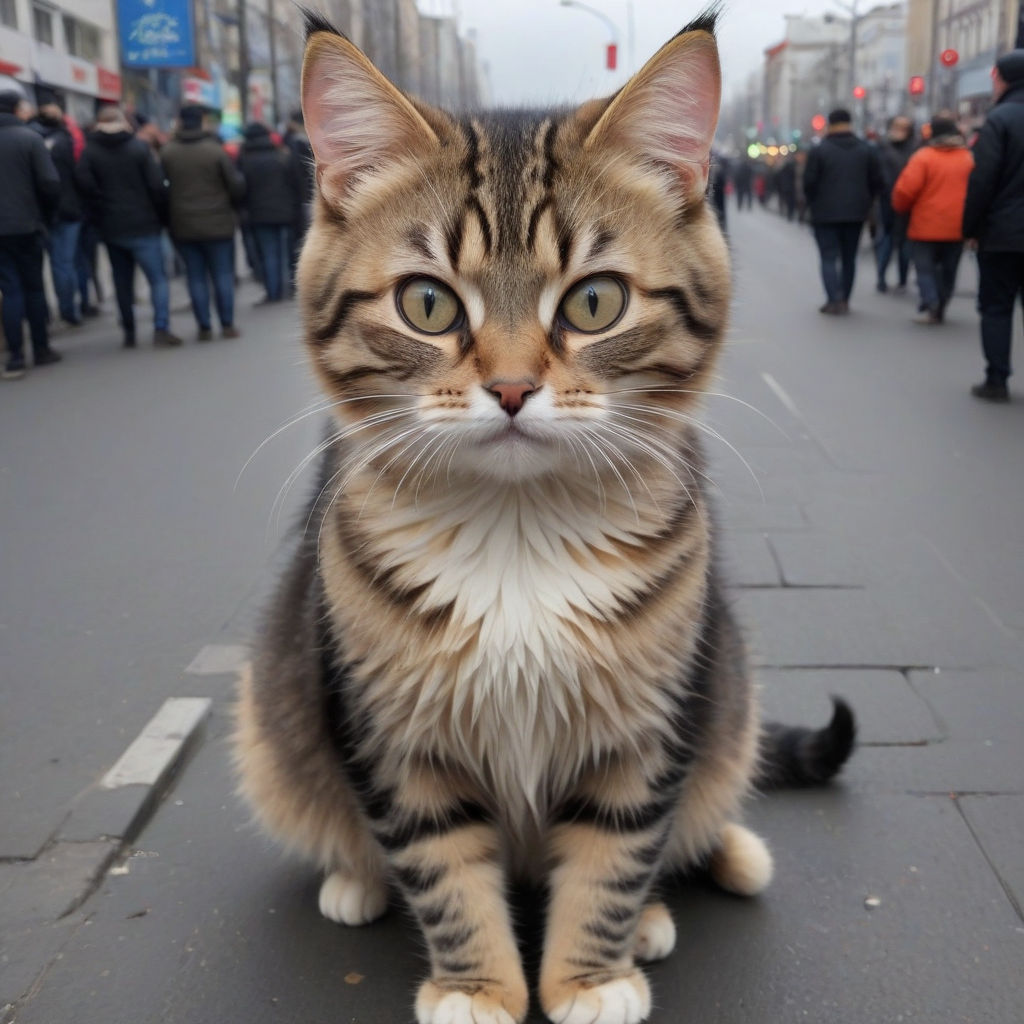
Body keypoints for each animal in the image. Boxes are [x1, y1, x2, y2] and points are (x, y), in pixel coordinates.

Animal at [234, 9, 856, 1024]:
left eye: (595, 302)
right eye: (427, 303)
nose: (514, 387)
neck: (516, 526)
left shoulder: (651, 718)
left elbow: (619, 850)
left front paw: (589, 976)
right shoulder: (390, 731)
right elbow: (440, 866)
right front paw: (478, 986)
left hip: (724, 682)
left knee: (714, 781)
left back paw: (712, 866)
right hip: (275, 716)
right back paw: (356, 878)